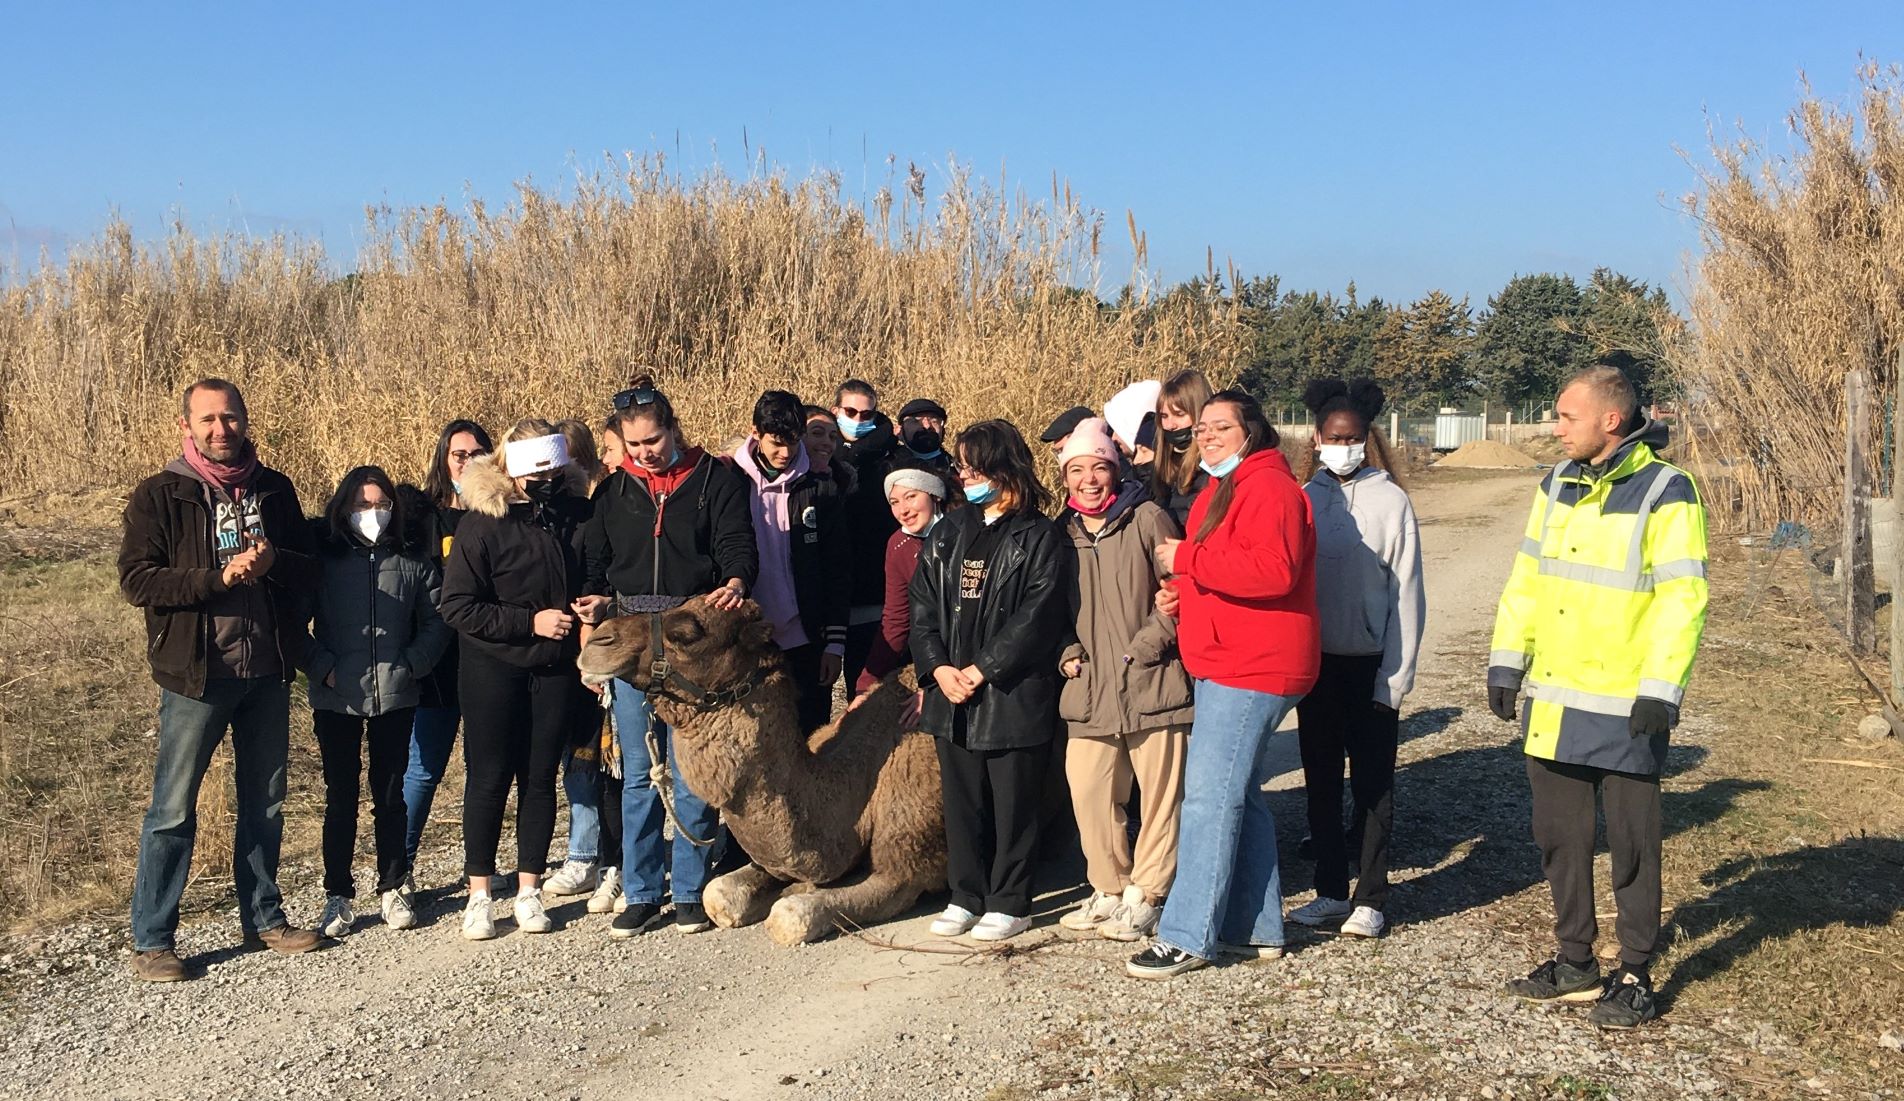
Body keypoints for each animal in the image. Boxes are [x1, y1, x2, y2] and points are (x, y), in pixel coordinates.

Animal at [571, 590, 944, 944]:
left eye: (687, 633)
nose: (597, 641)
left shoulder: (905, 866)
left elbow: (790, 916)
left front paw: (798, 893)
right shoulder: (774, 862)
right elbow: (717, 895)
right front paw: (792, 886)